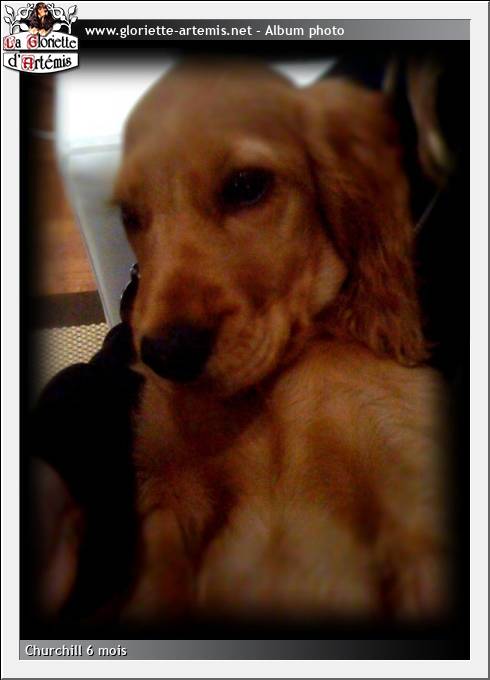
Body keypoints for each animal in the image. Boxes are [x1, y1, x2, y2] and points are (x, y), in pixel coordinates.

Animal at [113, 59, 450, 624]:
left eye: (246, 185)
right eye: (129, 215)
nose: (166, 356)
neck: (275, 382)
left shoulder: (413, 499)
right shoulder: (168, 498)